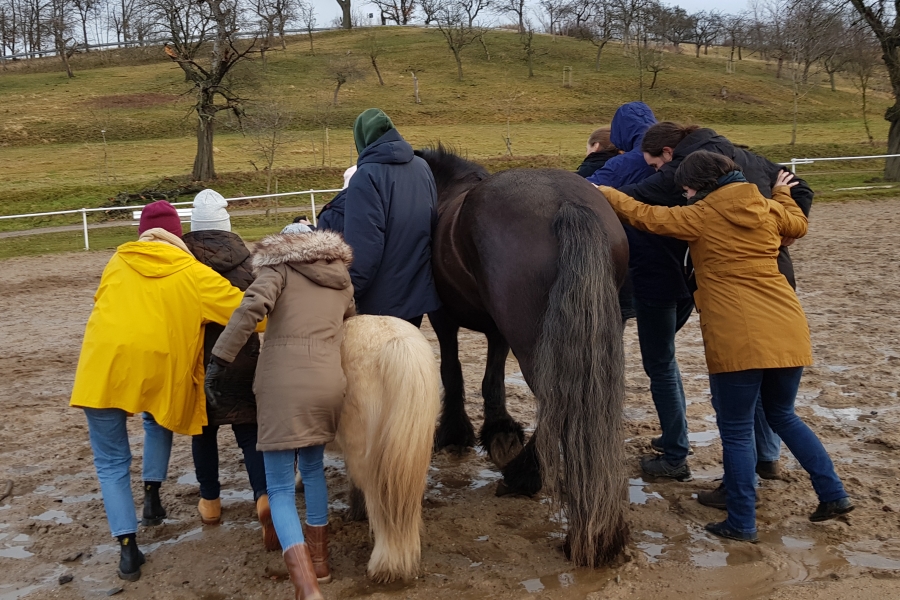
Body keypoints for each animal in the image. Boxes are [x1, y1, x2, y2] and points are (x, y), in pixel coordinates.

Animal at [418, 146, 628, 568]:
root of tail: (568, 203)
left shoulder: (442, 318)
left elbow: (452, 370)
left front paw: (454, 431)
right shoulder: (498, 330)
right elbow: (492, 378)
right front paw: (498, 430)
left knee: (556, 402)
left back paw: (524, 476)